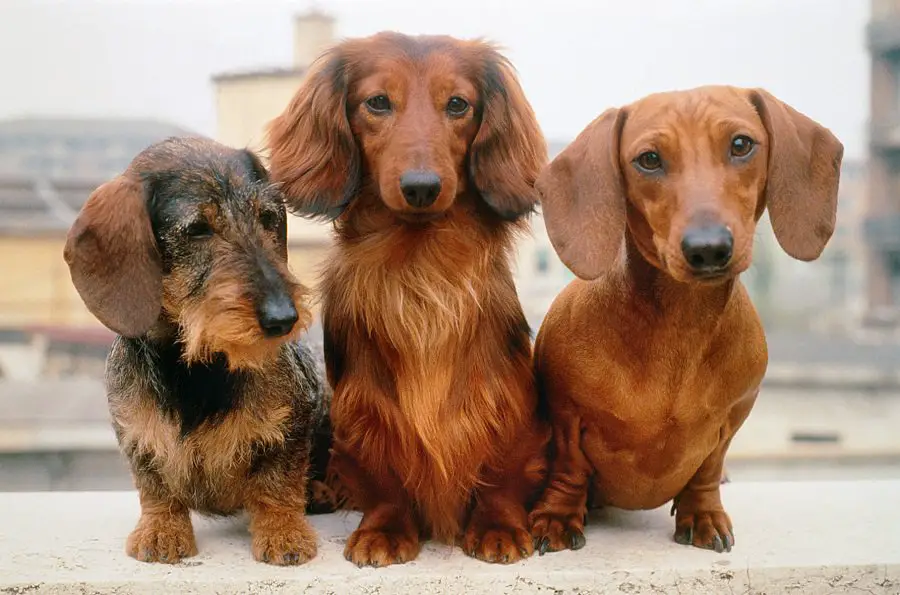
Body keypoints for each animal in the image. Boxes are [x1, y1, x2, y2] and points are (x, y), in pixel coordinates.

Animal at [64, 137, 330, 564]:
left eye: (267, 218)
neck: (198, 368)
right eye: (198, 229)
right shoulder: (135, 432)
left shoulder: (291, 423)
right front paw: (161, 530)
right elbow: (155, 486)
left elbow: (278, 482)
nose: (284, 318)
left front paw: (284, 533)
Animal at [266, 32, 548, 568]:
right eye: (377, 102)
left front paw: (498, 526)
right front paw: (384, 530)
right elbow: (383, 479)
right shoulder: (365, 408)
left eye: (458, 104)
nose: (421, 187)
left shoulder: (508, 399)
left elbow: (502, 470)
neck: (420, 269)